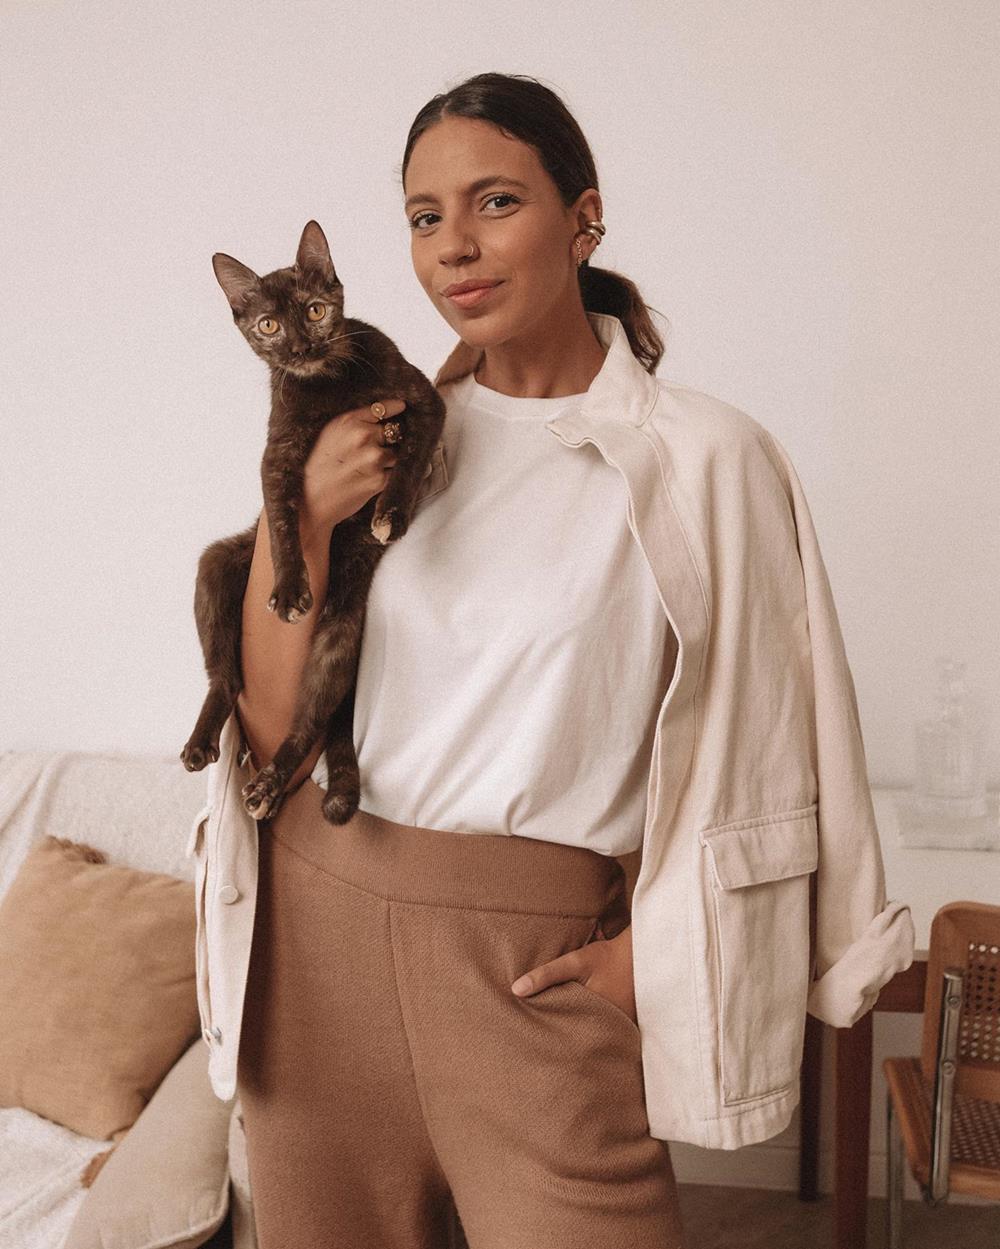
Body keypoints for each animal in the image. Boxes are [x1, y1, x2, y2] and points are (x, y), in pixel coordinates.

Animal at [181, 222, 444, 829]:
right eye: (269, 325)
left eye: (316, 310)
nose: (301, 347)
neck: (329, 388)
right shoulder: (279, 453)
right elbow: (283, 523)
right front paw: (288, 589)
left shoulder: (422, 401)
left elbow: (411, 459)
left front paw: (390, 512)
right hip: (216, 567)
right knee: (226, 679)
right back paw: (205, 744)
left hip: (339, 636)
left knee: (309, 722)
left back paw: (270, 785)